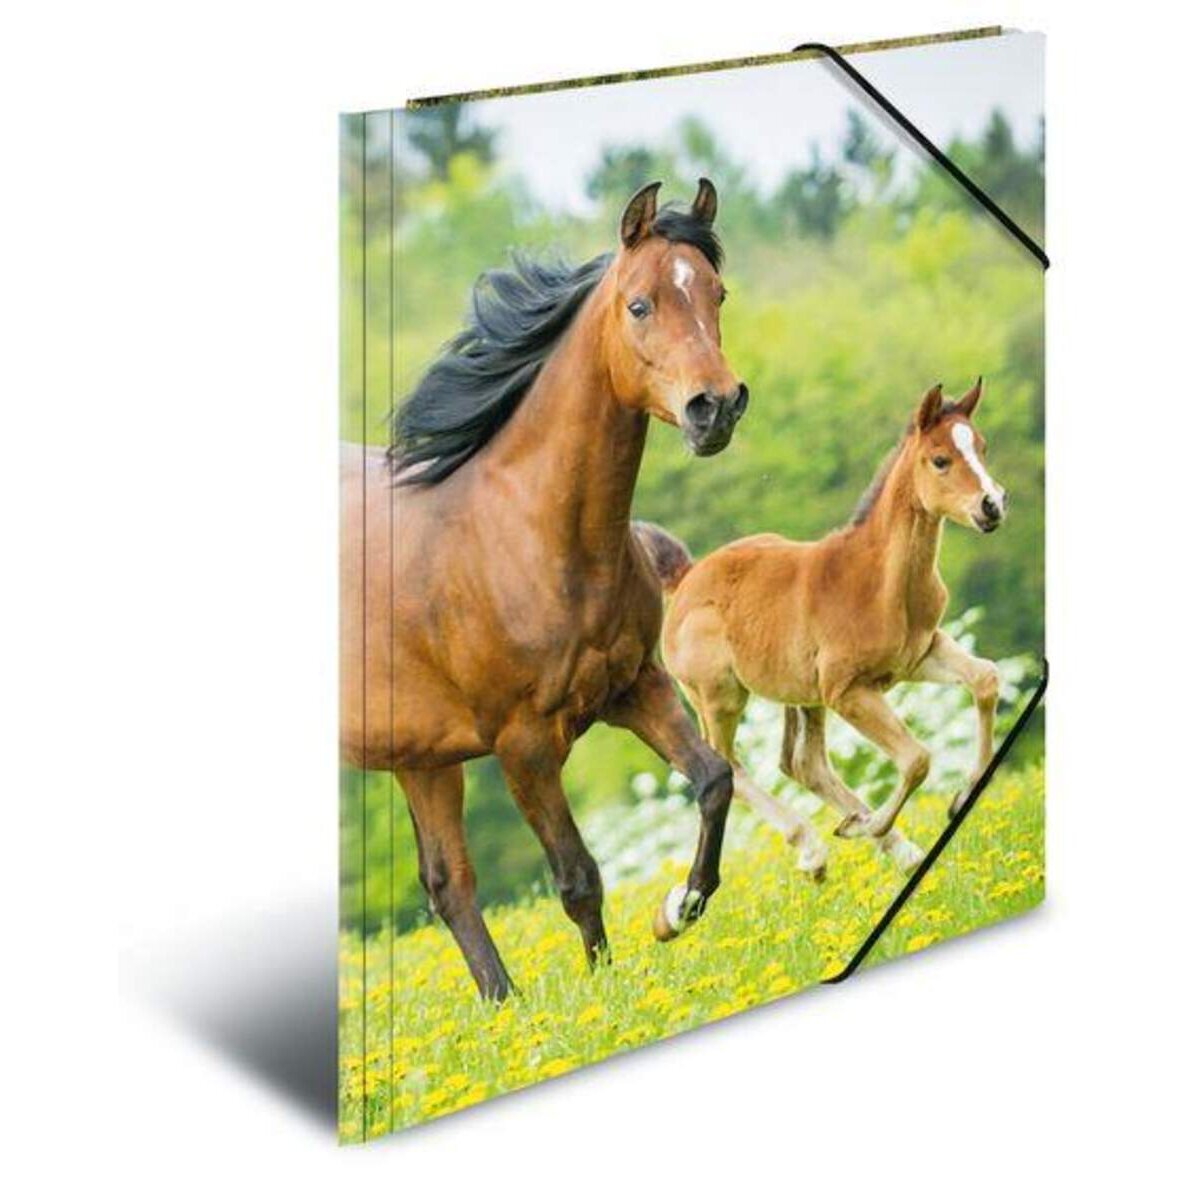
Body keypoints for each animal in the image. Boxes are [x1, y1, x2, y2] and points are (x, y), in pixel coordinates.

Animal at [340, 180, 750, 1001]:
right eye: (639, 304)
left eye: (716, 292)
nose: (715, 407)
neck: (527, 535)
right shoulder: (523, 745)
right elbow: (578, 877)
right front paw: (604, 992)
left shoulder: (635, 687)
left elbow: (715, 780)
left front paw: (676, 909)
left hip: (420, 758)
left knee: (448, 885)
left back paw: (505, 1007)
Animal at [641, 379, 1007, 878]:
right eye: (940, 460)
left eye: (982, 447)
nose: (993, 506)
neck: (880, 581)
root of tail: (685, 578)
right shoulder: (846, 690)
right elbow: (917, 758)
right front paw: (870, 825)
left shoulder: (921, 653)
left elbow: (986, 679)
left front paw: (960, 797)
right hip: (719, 697)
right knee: (729, 765)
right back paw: (816, 848)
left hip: (800, 692)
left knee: (803, 763)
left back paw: (895, 846)